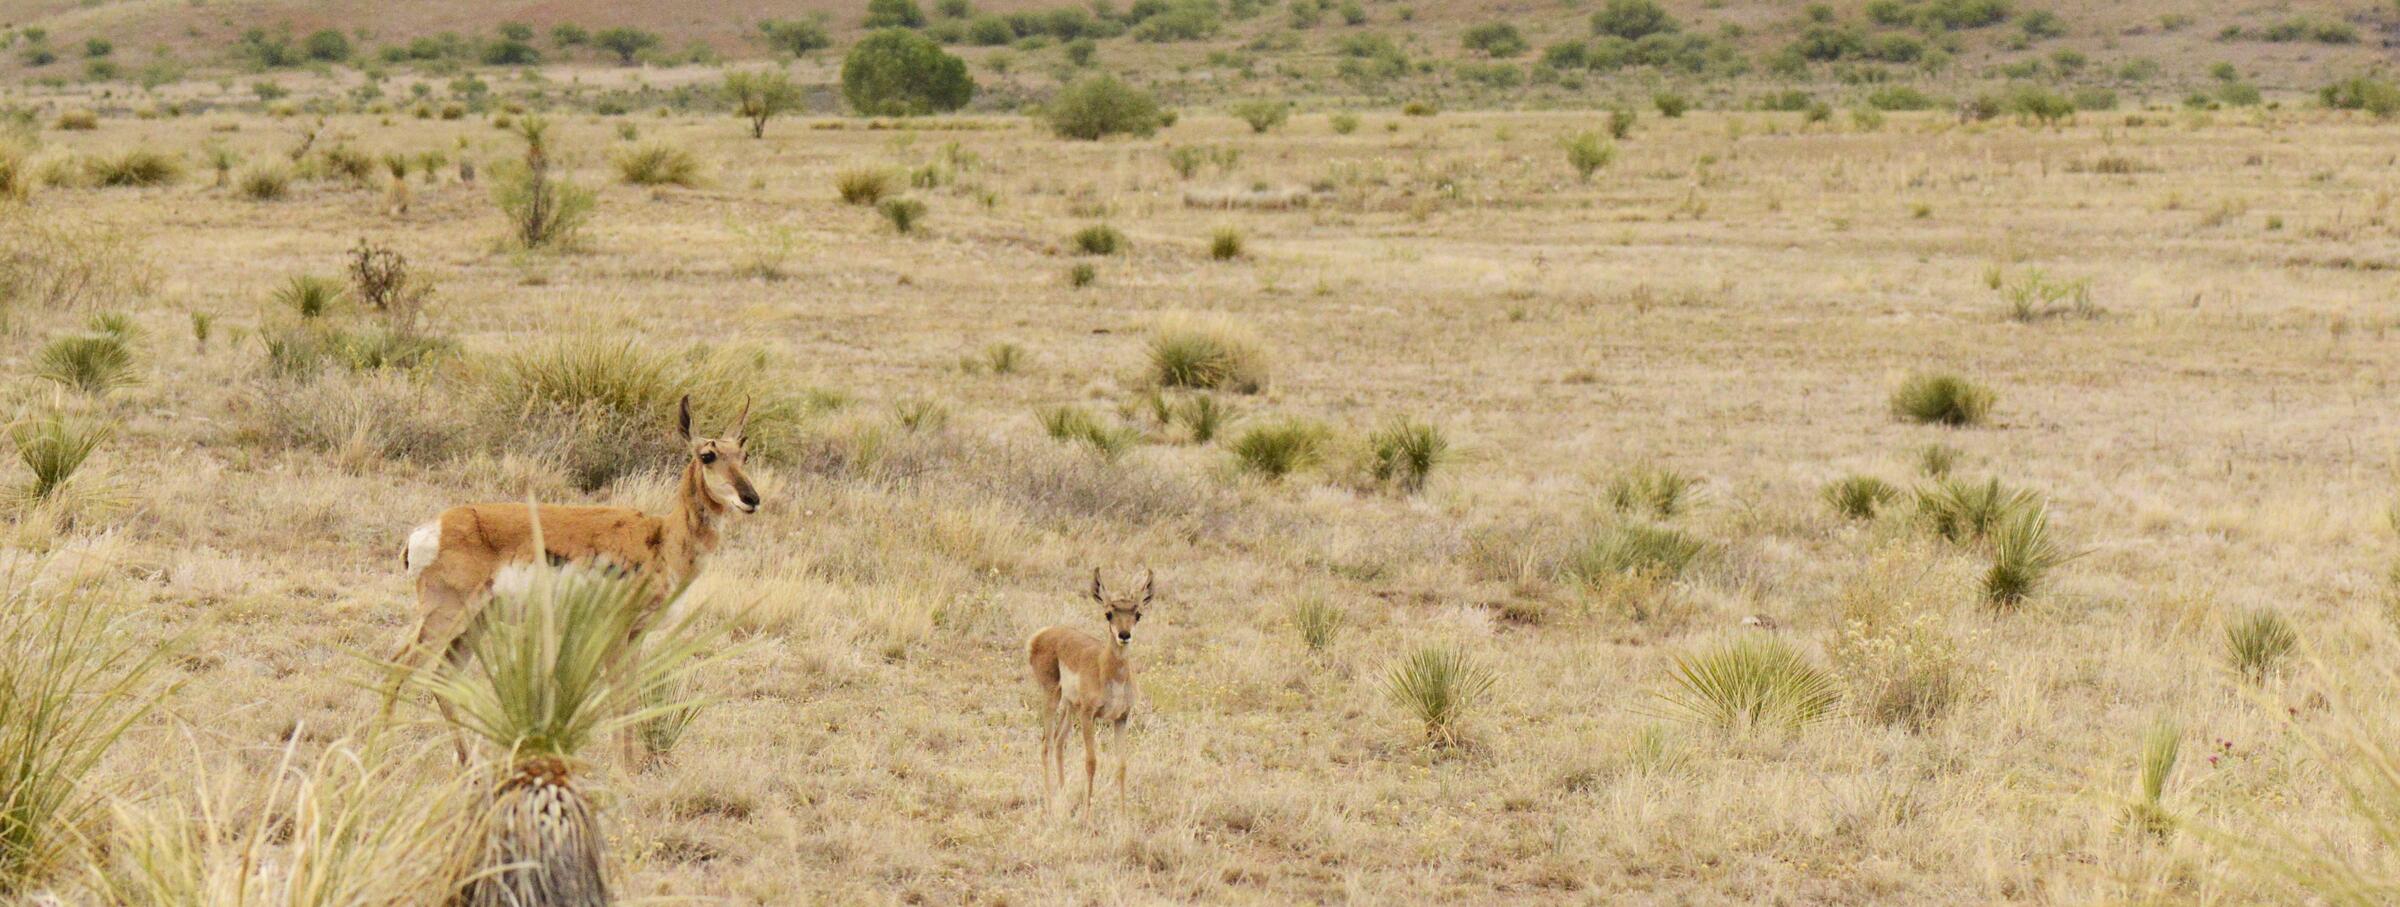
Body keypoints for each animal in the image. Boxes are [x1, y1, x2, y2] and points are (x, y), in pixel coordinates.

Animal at [396, 395, 758, 758]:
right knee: (399, 669)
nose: (751, 499)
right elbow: (619, 703)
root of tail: (430, 529)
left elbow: (630, 704)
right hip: (444, 618)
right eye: (708, 455)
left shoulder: (635, 636)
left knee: (441, 678)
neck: (661, 537)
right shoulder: (613, 635)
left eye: (744, 453)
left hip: (472, 625)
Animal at [1027, 571, 1147, 811]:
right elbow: (1091, 762)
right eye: (1109, 613)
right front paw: (1087, 815)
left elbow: (1122, 764)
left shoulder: (1121, 718)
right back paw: (1050, 804)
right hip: (1053, 697)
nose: (1124, 634)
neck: (1107, 668)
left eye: (1137, 614)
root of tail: (1043, 633)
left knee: (1059, 740)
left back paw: (1063, 796)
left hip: (1069, 706)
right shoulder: (1088, 715)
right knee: (1046, 743)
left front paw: (1123, 815)